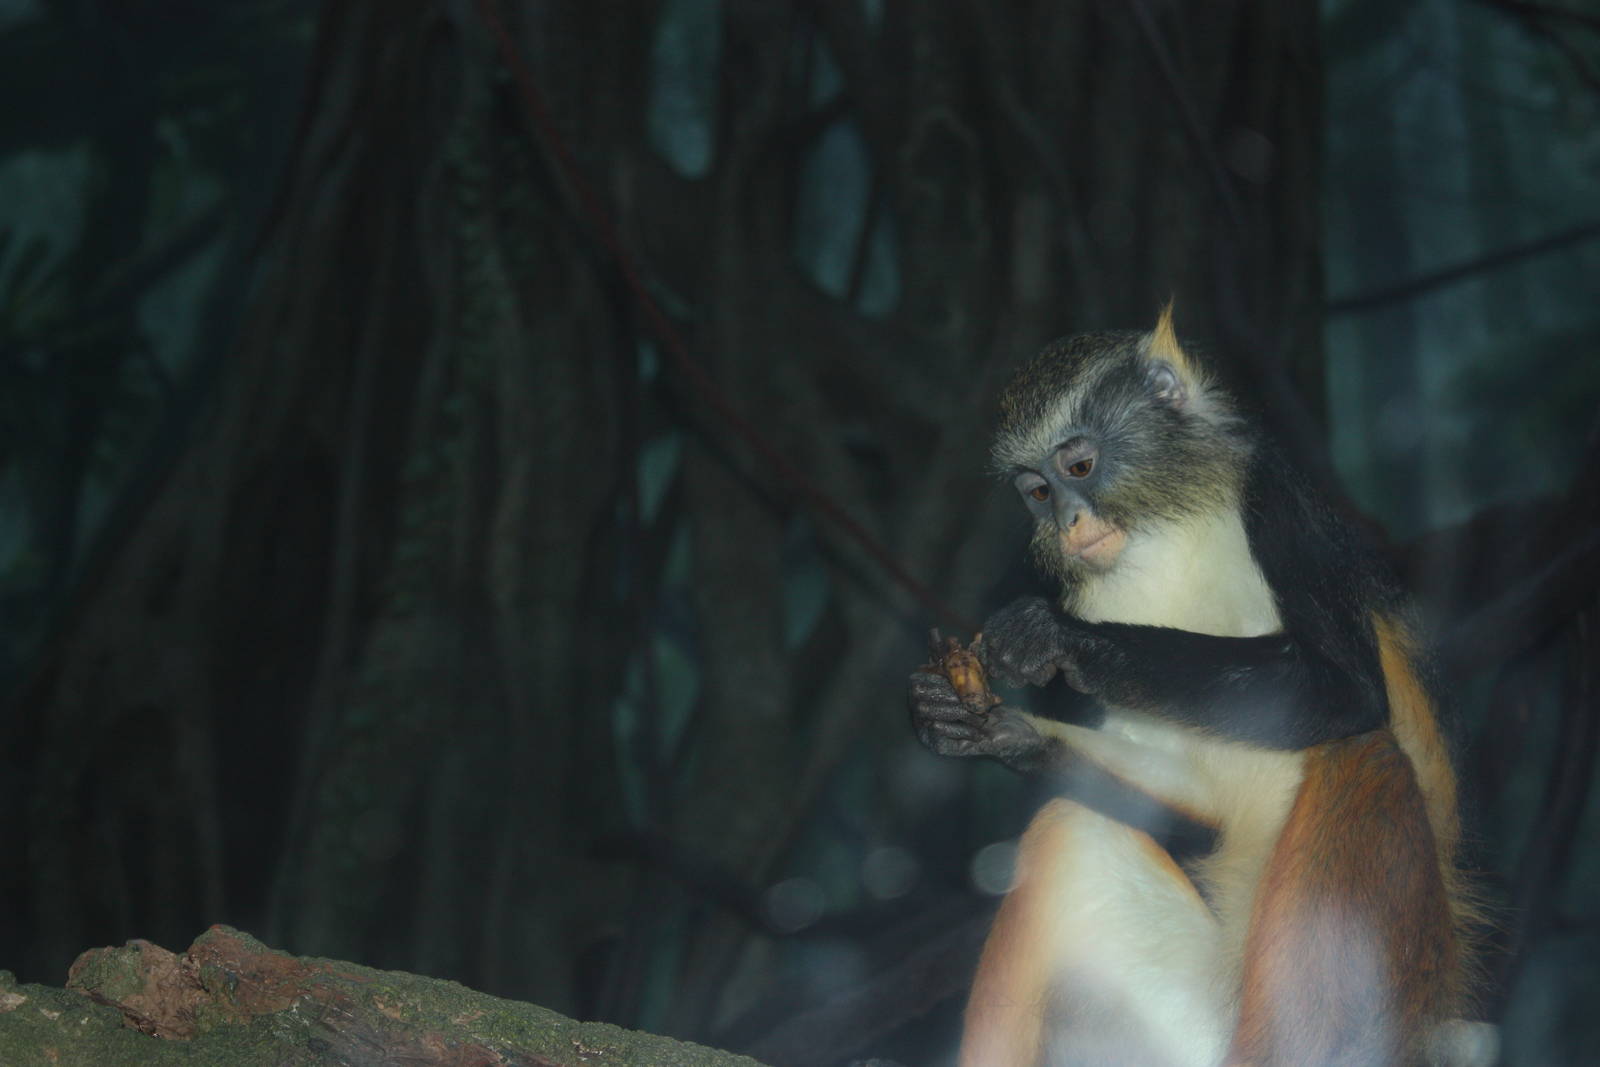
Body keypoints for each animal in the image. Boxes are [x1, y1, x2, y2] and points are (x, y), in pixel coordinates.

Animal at [908, 308, 1490, 1067]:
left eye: (1079, 466)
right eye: (1037, 492)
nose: (1067, 523)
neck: (1166, 529)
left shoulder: (1280, 504)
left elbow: (1345, 689)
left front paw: (1056, 637)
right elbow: (1190, 789)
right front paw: (989, 728)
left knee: (1366, 754)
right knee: (1070, 833)